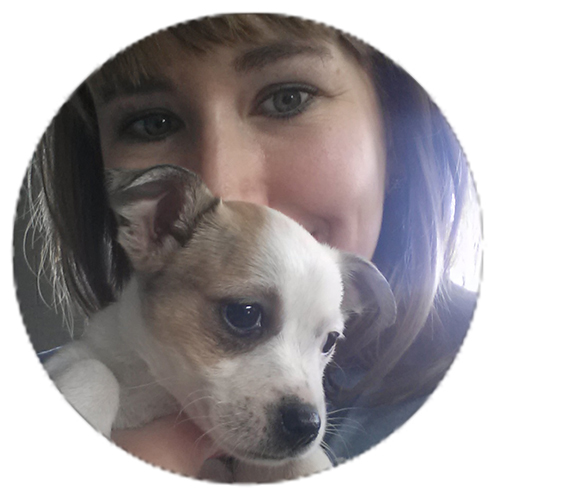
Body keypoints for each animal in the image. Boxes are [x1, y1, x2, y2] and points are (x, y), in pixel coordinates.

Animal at [44, 165, 396, 482]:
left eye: (330, 341)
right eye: (244, 314)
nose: (306, 426)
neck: (157, 390)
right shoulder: (73, 357)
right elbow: (95, 371)